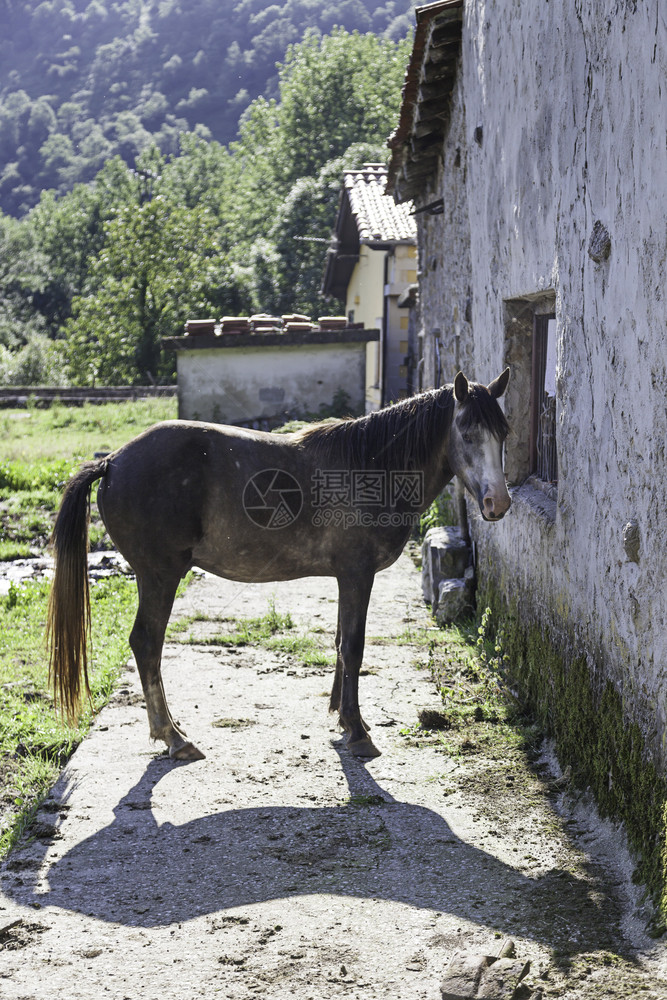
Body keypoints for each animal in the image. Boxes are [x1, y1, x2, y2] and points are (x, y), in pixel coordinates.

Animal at [47, 370, 512, 756]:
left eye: (502, 433)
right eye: (467, 433)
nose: (498, 503)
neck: (371, 467)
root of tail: (112, 462)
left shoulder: (346, 577)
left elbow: (340, 642)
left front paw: (341, 717)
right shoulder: (357, 575)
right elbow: (354, 646)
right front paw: (357, 730)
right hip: (160, 575)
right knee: (146, 643)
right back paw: (173, 738)